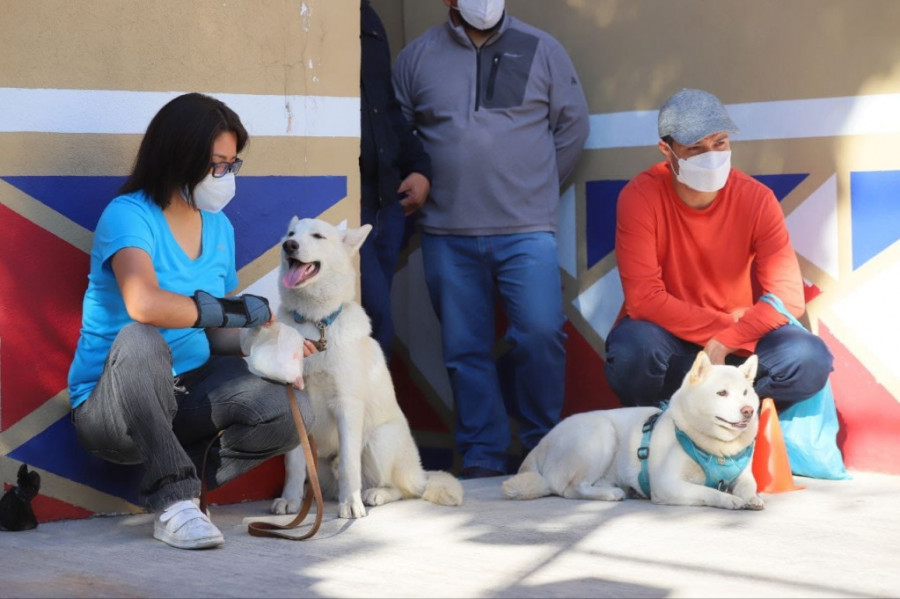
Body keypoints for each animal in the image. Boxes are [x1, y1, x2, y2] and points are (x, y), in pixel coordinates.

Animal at [246, 218, 464, 516]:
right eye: (291, 234)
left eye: (318, 236)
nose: (289, 245)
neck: (315, 324)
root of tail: (420, 474)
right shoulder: (295, 406)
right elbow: (294, 465)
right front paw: (290, 500)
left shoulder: (347, 406)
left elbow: (351, 466)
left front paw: (351, 504)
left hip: (379, 440)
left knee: (402, 489)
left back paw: (375, 494)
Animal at [502, 352, 764, 510]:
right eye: (722, 393)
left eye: (745, 393)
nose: (748, 410)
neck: (717, 449)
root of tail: (540, 445)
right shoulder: (667, 485)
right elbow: (708, 492)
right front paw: (730, 499)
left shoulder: (744, 476)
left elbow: (749, 487)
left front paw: (751, 498)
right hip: (601, 435)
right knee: (570, 489)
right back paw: (610, 494)